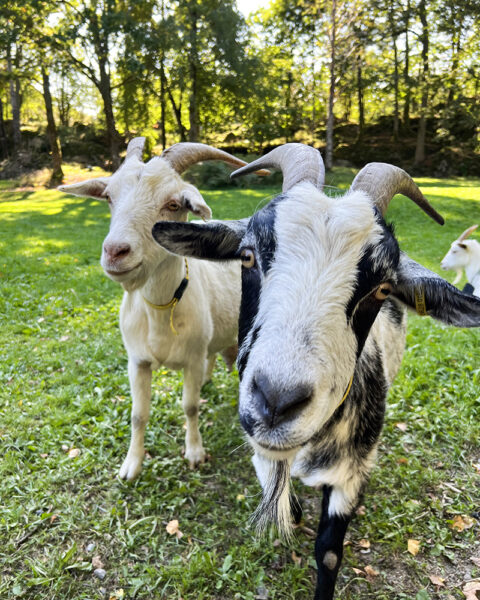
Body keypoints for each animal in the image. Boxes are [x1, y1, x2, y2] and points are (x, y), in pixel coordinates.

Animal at [58, 138, 266, 480]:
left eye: (173, 204)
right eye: (109, 197)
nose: (115, 251)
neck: (160, 309)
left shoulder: (192, 358)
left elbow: (190, 407)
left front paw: (195, 453)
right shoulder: (137, 362)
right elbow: (138, 414)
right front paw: (131, 465)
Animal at [151, 143, 480, 600]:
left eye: (383, 288)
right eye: (247, 256)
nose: (276, 401)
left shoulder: (352, 471)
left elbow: (328, 553)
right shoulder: (261, 449)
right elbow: (288, 509)